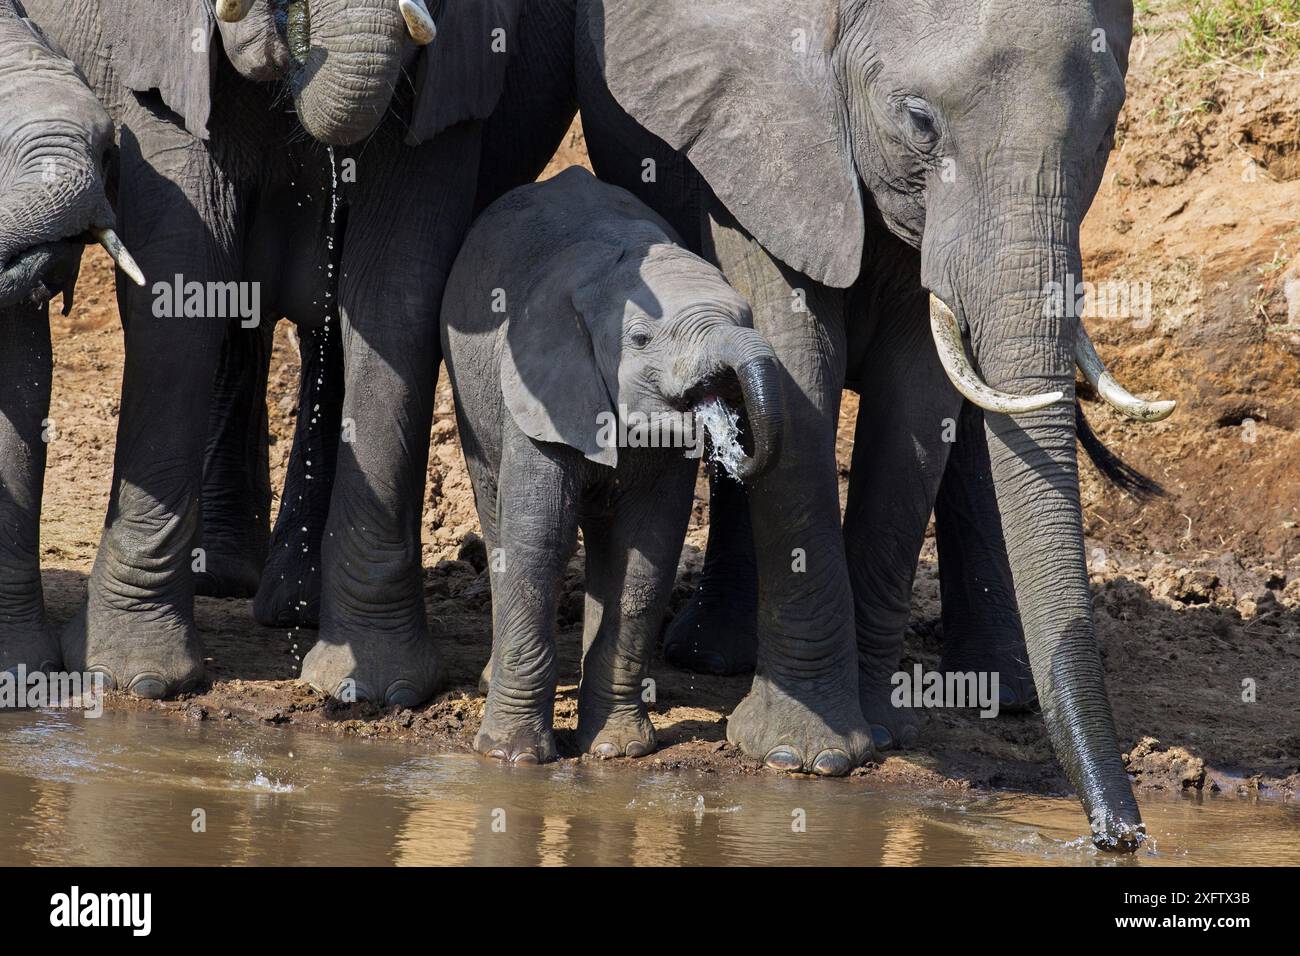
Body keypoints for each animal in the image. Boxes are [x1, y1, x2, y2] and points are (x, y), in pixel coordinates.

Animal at [13, 0, 575, 704]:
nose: (296, 37)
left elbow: (393, 288)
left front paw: (376, 689)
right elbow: (182, 276)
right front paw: (134, 677)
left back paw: (296, 608)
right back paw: (225, 580)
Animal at [443, 166, 783, 763]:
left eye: (746, 316)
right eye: (640, 339)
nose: (741, 457)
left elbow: (647, 554)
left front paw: (618, 752)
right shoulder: (537, 393)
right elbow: (538, 540)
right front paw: (513, 758)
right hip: (471, 395)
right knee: (497, 510)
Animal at [573, 0, 1177, 848]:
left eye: (1104, 137)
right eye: (919, 122)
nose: (1120, 835)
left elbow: (920, 395)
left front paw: (882, 733)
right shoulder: (764, 134)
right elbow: (794, 361)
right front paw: (804, 758)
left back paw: (998, 691)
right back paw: (715, 655)